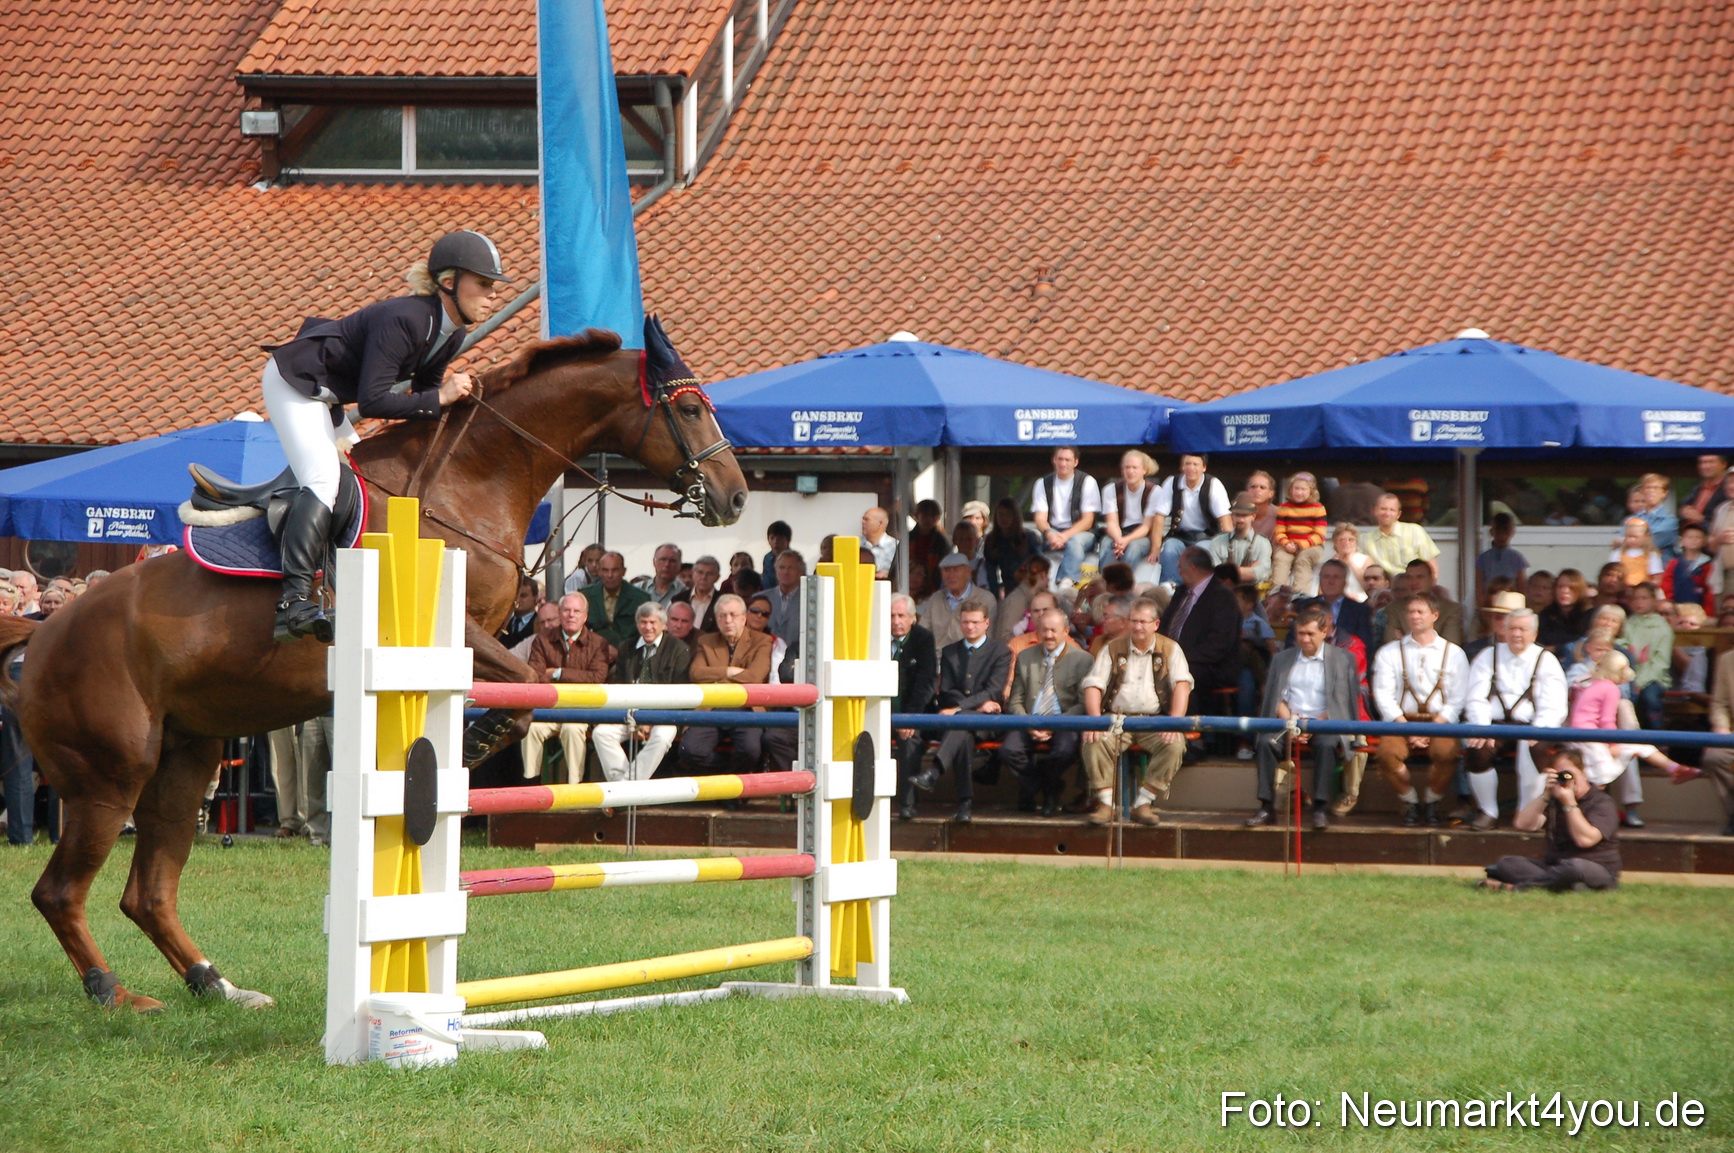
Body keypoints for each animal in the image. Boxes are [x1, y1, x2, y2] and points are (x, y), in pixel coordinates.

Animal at [0, 319, 748, 1012]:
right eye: (689, 408)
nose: (734, 496)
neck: (467, 483)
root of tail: (40, 637)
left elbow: (526, 689)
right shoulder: (458, 634)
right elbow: (527, 687)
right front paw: (472, 744)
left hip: (186, 760)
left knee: (148, 890)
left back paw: (217, 984)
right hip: (110, 776)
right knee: (61, 890)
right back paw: (113, 993)